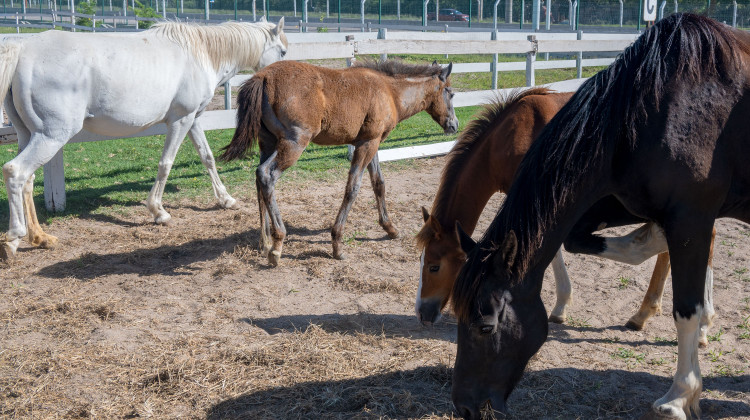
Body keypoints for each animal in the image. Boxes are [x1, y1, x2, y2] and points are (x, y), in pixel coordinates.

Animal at [0, 18, 288, 260]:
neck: (200, 53)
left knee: (28, 180)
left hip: (31, 136)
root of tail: (23, 50)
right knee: (15, 171)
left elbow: (207, 158)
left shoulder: (193, 119)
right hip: (52, 136)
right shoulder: (180, 121)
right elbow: (166, 164)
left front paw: (226, 199)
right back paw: (14, 238)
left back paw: (40, 237)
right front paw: (158, 211)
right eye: (283, 52)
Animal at [220, 58, 462, 266]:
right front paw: (337, 243)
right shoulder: (367, 145)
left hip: (268, 144)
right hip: (293, 143)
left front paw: (390, 228)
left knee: (258, 179)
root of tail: (263, 77)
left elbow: (379, 184)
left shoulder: (370, 142)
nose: (454, 125)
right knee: (266, 175)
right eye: (451, 94)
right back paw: (277, 243)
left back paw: (265, 242)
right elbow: (352, 188)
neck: (389, 91)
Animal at [418, 90, 716, 342]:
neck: (509, 137)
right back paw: (650, 314)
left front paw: (559, 306)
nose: (422, 313)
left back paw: (697, 324)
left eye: (434, 266)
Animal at [450, 13, 750, 420]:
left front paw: (679, 395)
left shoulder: (691, 217)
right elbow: (581, 241)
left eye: (484, 327)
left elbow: (686, 310)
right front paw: (651, 238)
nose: (463, 406)